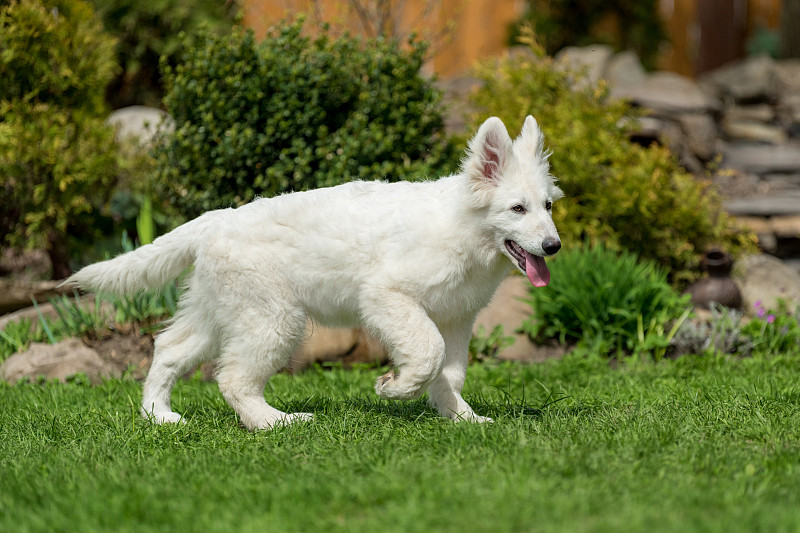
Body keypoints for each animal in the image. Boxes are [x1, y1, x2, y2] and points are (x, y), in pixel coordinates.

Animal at [67, 115, 564, 428]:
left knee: (169, 348)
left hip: (221, 310)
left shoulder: (456, 318)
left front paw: (462, 418)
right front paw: (395, 388)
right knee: (232, 378)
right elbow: (427, 353)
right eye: (517, 209)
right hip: (274, 319)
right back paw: (275, 423)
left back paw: (160, 416)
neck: (463, 228)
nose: (553, 246)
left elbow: (449, 370)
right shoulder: (387, 296)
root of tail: (217, 218)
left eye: (548, 206)